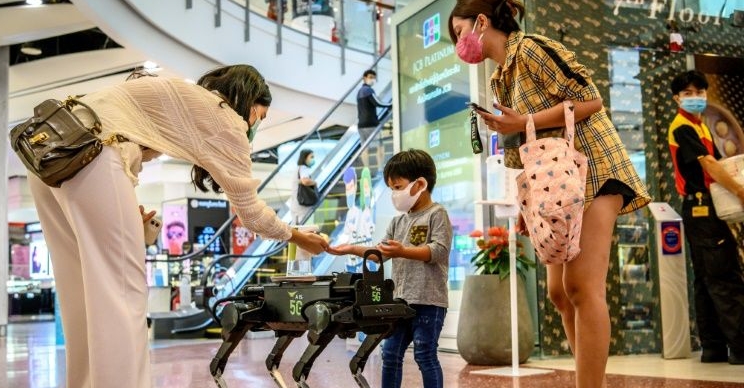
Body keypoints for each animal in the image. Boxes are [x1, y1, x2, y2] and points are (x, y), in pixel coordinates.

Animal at [209, 250, 416, 386]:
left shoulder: (382, 325)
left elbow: (355, 364)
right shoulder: (323, 322)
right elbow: (299, 371)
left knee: (270, 362)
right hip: (241, 319)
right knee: (218, 362)